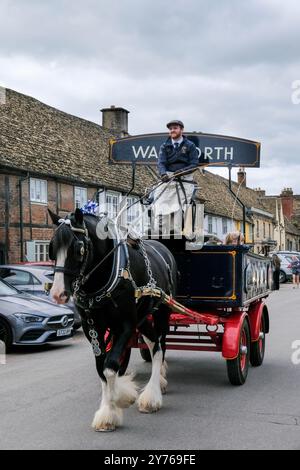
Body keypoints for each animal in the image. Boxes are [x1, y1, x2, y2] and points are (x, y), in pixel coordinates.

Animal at [48, 209, 177, 434]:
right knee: (153, 342)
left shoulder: (126, 324)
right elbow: (102, 367)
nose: (57, 294)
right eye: (51, 248)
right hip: (143, 317)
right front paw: (108, 411)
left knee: (160, 347)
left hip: (162, 311)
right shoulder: (92, 327)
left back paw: (152, 394)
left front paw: (121, 397)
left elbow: (111, 365)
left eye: (78, 249)